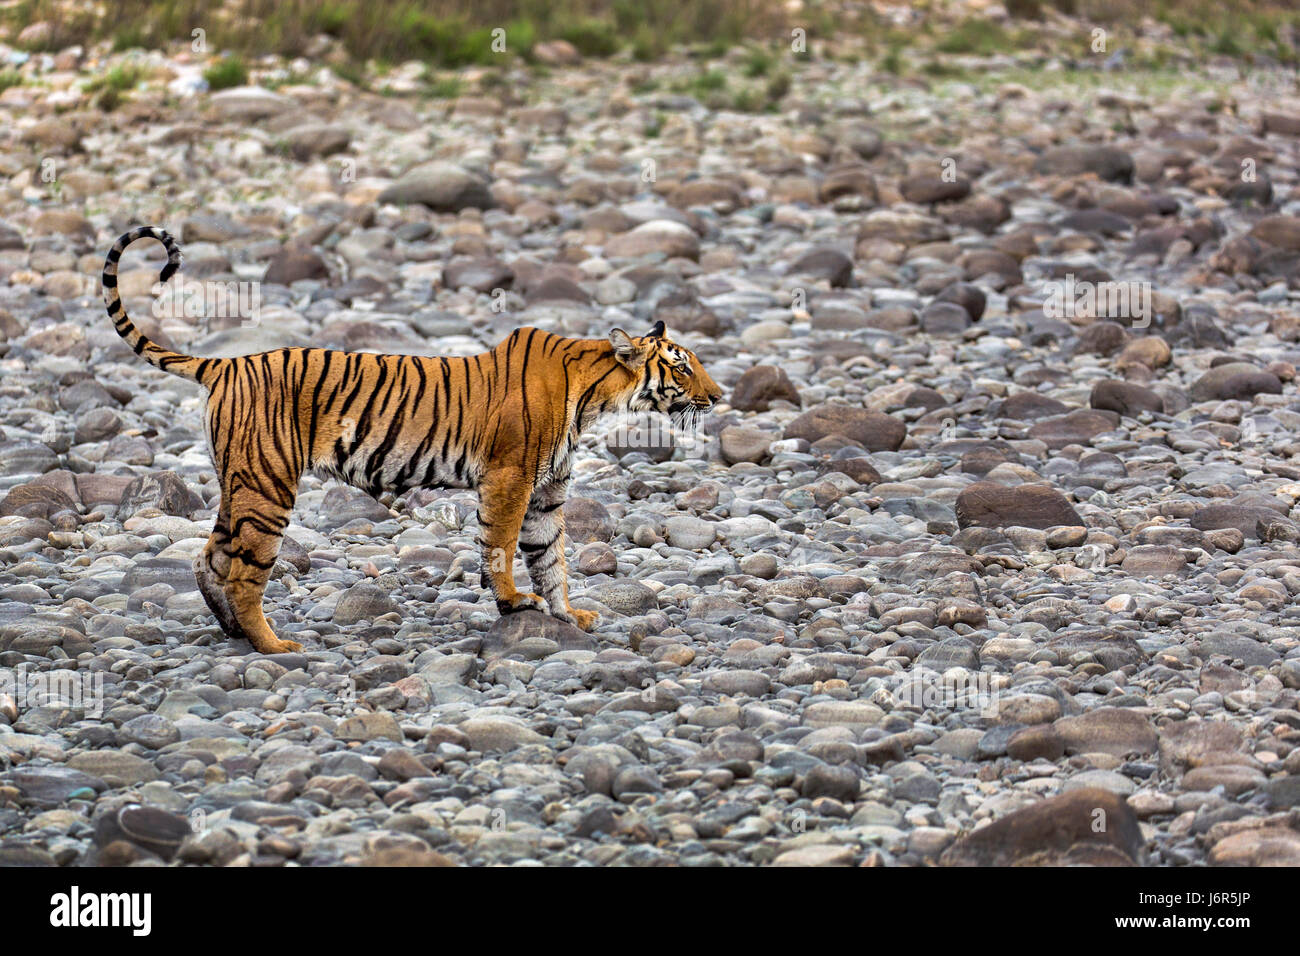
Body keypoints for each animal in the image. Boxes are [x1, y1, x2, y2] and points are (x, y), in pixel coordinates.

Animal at [104, 227, 722, 655]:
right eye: (683, 367)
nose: (718, 396)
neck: (593, 395)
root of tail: (226, 363)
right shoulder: (511, 478)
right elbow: (502, 545)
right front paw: (513, 601)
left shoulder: (547, 491)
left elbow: (551, 556)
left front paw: (569, 615)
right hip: (267, 486)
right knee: (242, 570)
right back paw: (272, 645)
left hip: (242, 483)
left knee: (209, 556)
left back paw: (233, 632)